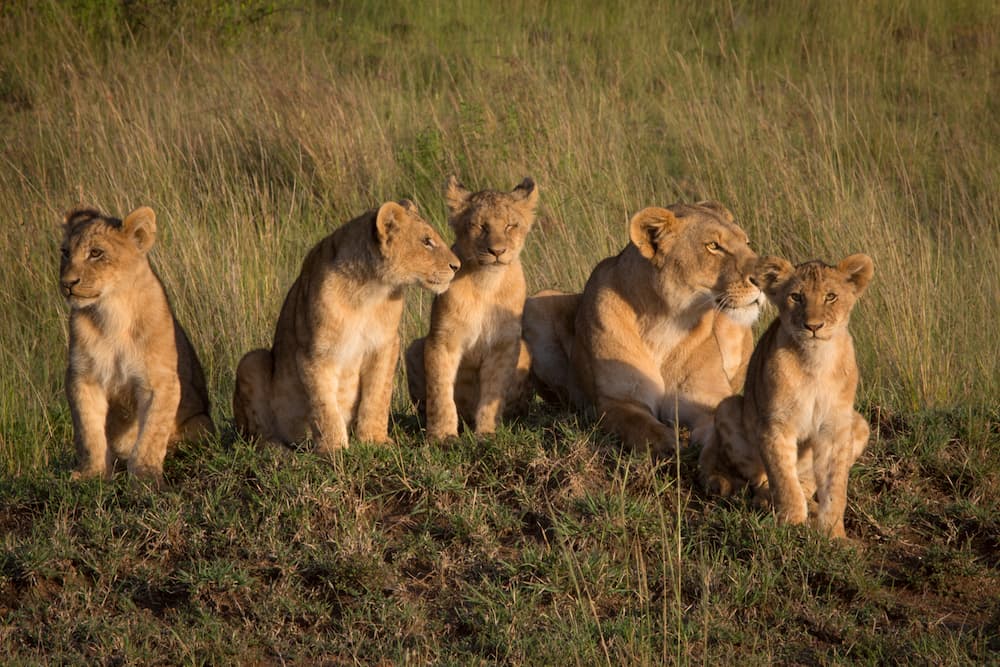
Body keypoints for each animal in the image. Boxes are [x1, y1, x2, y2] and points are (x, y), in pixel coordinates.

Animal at [60, 206, 214, 487]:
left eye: (96, 253)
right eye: (65, 252)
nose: (67, 283)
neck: (112, 312)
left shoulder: (160, 381)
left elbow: (151, 435)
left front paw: (145, 475)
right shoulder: (82, 377)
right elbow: (88, 431)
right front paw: (92, 474)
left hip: (201, 423)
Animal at [233, 200, 460, 454]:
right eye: (426, 241)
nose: (457, 266)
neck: (369, 291)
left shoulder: (385, 345)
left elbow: (378, 395)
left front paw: (374, 439)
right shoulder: (314, 353)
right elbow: (324, 405)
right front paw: (334, 448)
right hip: (251, 360)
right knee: (256, 435)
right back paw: (278, 450)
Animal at [405, 176, 538, 439]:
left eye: (510, 226)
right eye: (480, 226)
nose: (497, 251)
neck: (486, 282)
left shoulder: (503, 344)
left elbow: (493, 391)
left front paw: (487, 433)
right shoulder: (442, 340)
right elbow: (440, 390)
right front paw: (443, 436)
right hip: (413, 348)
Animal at [522, 202, 762, 456]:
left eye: (746, 243)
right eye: (713, 246)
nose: (767, 276)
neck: (668, 321)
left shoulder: (708, 400)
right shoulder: (620, 402)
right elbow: (646, 429)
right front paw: (673, 446)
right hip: (536, 304)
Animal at [698, 254, 874, 539]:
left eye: (831, 297)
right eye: (796, 297)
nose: (813, 326)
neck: (815, 361)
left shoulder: (835, 429)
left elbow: (835, 488)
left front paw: (834, 534)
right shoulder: (776, 425)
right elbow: (783, 478)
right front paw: (792, 523)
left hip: (859, 424)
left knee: (806, 482)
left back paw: (811, 505)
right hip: (728, 407)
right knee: (760, 480)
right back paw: (767, 500)